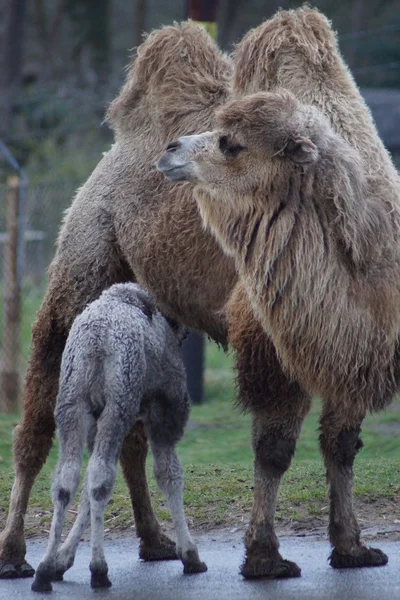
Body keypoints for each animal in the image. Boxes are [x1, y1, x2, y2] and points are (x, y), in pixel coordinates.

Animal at [32, 284, 206, 592]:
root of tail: (95, 344)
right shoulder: (165, 407)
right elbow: (168, 473)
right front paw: (190, 554)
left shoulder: (92, 421)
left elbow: (84, 489)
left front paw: (61, 560)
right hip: (119, 402)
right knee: (101, 478)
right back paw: (99, 570)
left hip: (71, 402)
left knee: (68, 478)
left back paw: (42, 571)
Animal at [159, 90, 400, 572]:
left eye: (231, 144)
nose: (170, 149)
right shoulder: (280, 359)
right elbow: (274, 450)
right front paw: (266, 557)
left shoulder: (351, 359)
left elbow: (340, 444)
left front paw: (351, 549)